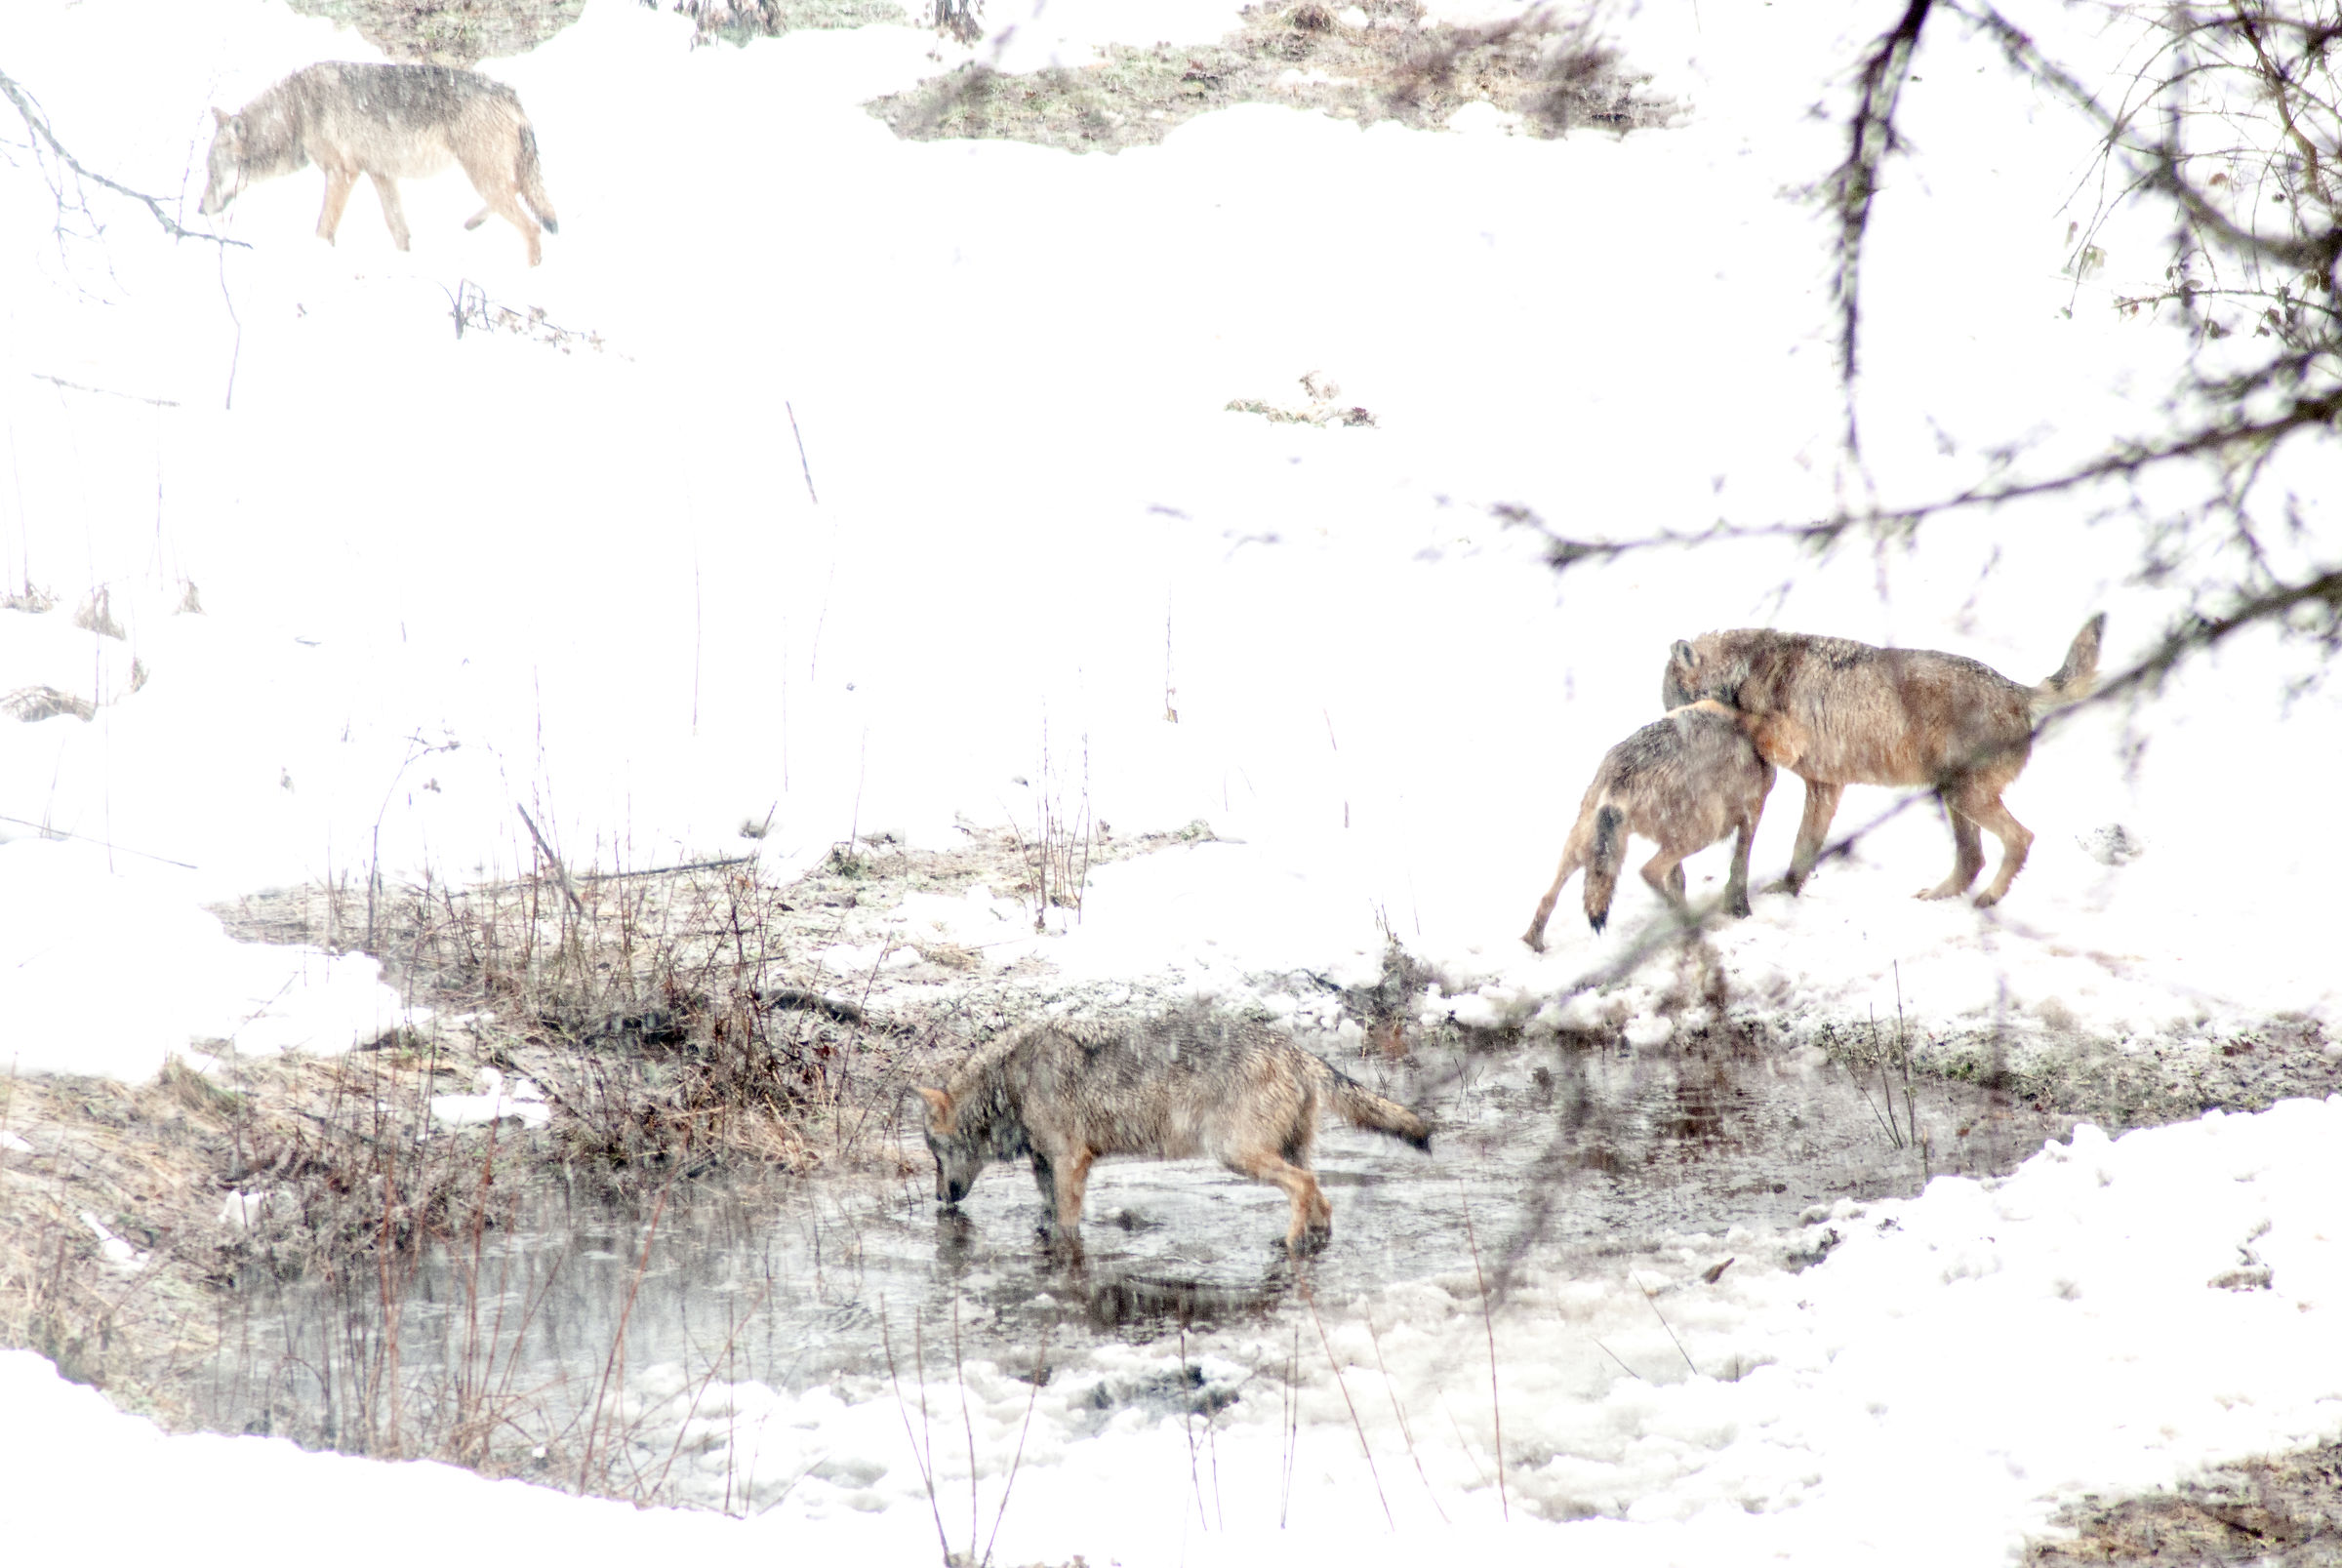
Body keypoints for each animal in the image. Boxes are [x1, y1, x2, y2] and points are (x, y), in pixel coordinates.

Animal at [198, 62, 559, 266]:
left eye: (213, 173)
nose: (200, 209)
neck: (296, 112)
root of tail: (510, 94)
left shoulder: (343, 174)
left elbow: (323, 228)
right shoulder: (381, 175)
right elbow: (398, 230)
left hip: (482, 177)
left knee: (532, 227)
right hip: (489, 177)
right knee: (520, 196)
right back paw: (473, 222)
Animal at [914, 1011, 1432, 1253]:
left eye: (934, 1154)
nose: (940, 1199)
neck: (1013, 1081)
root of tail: (1295, 1050)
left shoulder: (1071, 1163)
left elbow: (1067, 1227)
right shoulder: (1048, 1167)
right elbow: (1050, 1219)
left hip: (1237, 1155)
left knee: (1303, 1188)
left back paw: (1285, 1245)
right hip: (1281, 1152)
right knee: (1323, 1201)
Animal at [1522, 699, 1775, 952]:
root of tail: (1622, 778)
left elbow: (1679, 879)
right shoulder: (1754, 810)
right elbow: (1741, 864)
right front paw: (1741, 910)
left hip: (1583, 845)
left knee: (1548, 896)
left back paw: (1533, 942)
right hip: (1705, 831)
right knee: (1649, 871)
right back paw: (1688, 921)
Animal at [1660, 615, 2104, 908]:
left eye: (1670, 704)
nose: (1668, 735)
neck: (1749, 670)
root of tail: (2018, 690)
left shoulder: (1786, 744)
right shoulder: (1825, 785)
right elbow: (1803, 848)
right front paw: (1787, 891)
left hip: (1964, 796)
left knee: (2020, 838)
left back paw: (1990, 897)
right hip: (1953, 797)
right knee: (1972, 859)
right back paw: (1938, 896)